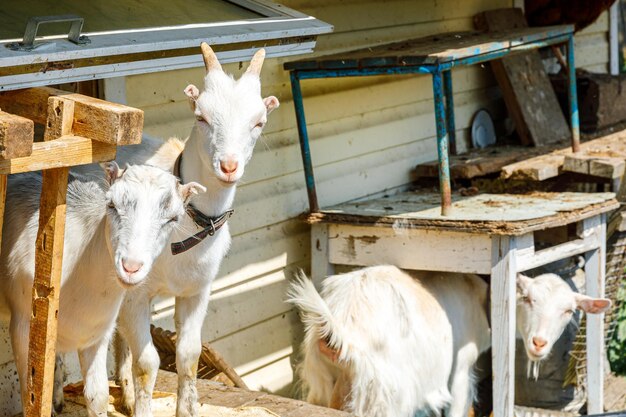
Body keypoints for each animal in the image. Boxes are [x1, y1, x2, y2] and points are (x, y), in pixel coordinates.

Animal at [0, 163, 205, 416]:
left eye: (173, 219)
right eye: (111, 205)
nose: (131, 267)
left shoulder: (95, 334)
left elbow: (98, 396)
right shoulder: (23, 326)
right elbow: (33, 396)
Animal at [72, 43, 278, 416]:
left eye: (259, 122)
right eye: (201, 116)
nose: (228, 166)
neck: (187, 229)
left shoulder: (197, 291)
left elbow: (189, 355)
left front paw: (187, 408)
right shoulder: (136, 294)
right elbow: (148, 363)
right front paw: (143, 405)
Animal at [288, 264, 608, 416]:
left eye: (568, 310)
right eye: (528, 299)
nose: (539, 344)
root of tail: (341, 320)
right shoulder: (461, 367)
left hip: (322, 379)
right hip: (384, 394)